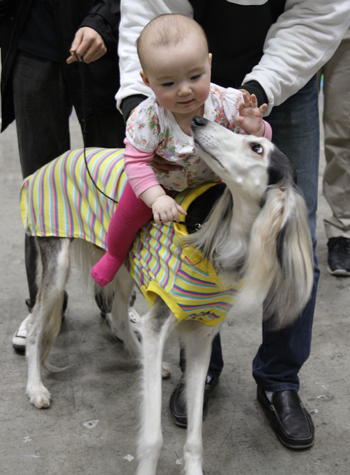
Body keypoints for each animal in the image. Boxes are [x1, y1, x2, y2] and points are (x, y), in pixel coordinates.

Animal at [21, 116, 314, 475]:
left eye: (256, 146)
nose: (199, 120)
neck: (226, 240)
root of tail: (56, 160)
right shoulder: (159, 321)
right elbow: (153, 437)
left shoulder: (202, 336)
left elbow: (195, 435)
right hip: (58, 263)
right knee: (37, 327)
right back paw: (36, 388)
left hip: (122, 267)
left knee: (119, 318)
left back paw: (142, 357)